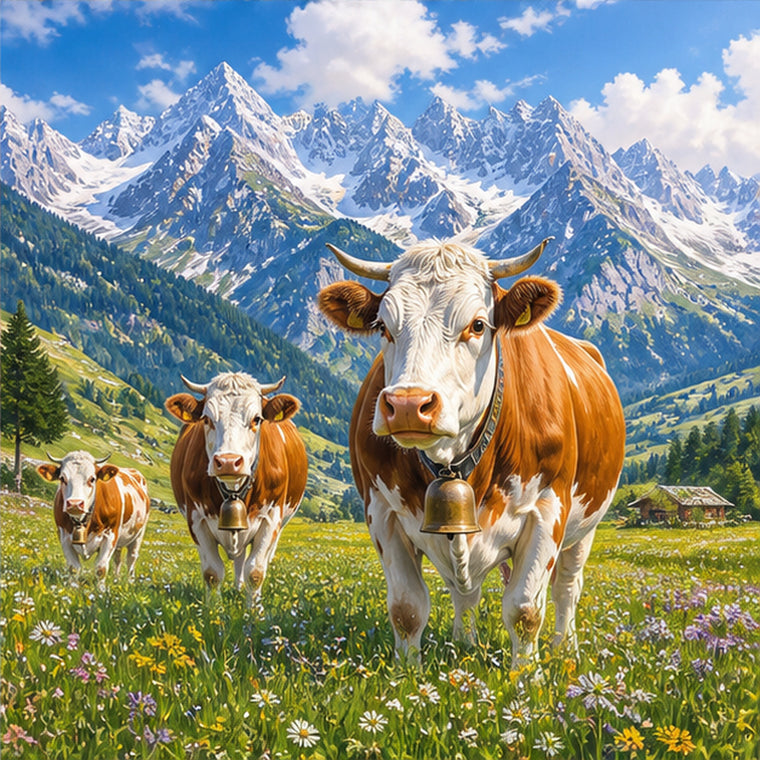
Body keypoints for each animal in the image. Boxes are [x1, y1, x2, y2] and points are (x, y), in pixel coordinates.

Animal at [37, 451, 150, 591]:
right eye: (62, 478)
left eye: (92, 479)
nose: (75, 503)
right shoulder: (64, 536)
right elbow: (73, 568)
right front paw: (72, 589)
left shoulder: (110, 535)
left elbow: (101, 569)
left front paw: (101, 591)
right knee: (118, 558)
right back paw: (116, 579)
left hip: (139, 534)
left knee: (131, 558)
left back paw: (130, 582)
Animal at [164, 372, 307, 599]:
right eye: (206, 419)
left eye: (257, 419)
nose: (228, 461)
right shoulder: (196, 519)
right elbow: (212, 572)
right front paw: (214, 607)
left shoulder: (271, 517)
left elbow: (255, 572)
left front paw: (254, 608)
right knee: (239, 557)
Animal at [317, 238, 625, 669]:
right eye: (383, 326)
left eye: (477, 325)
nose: (408, 405)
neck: (452, 463)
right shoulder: (382, 512)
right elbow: (407, 608)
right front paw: (406, 674)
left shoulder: (548, 509)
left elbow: (525, 610)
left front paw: (525, 677)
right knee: (466, 592)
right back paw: (464, 644)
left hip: (587, 524)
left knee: (566, 586)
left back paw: (565, 648)